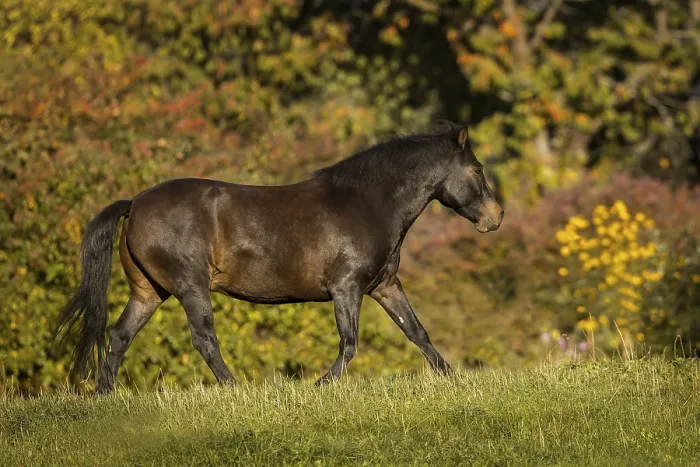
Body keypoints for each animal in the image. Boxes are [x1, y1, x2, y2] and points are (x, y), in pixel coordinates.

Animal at [53, 124, 503, 393]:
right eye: (478, 169)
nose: (496, 217)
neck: (366, 202)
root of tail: (135, 204)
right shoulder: (347, 288)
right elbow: (350, 343)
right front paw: (320, 386)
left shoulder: (384, 286)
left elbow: (417, 333)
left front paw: (453, 379)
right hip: (190, 287)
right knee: (204, 339)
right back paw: (235, 389)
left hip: (149, 291)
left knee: (119, 335)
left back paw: (105, 394)